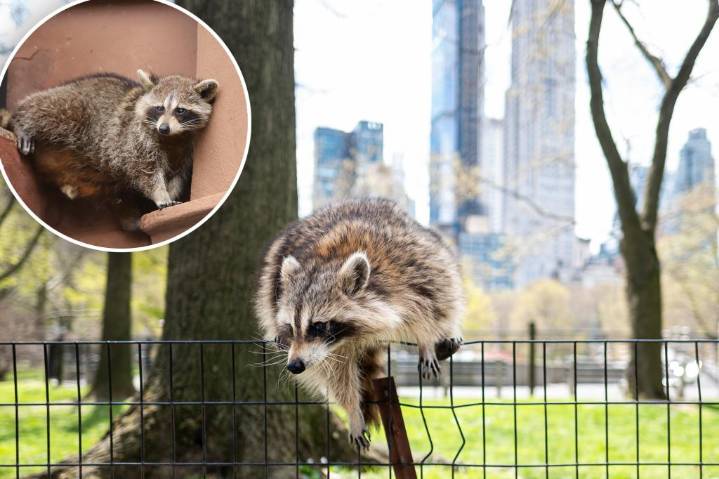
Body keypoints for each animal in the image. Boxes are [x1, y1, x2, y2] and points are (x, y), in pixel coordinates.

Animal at [3, 70, 218, 228]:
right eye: (159, 108)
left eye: (180, 110)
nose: (163, 128)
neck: (173, 138)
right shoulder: (136, 139)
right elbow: (146, 171)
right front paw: (161, 194)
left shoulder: (187, 149)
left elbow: (178, 176)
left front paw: (171, 195)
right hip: (75, 107)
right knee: (49, 110)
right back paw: (20, 120)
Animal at [255, 198, 464, 449]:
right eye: (291, 327)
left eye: (317, 325)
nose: (294, 365)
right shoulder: (331, 350)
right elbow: (337, 375)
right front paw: (353, 410)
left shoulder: (411, 267)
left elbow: (431, 302)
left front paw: (425, 340)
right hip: (273, 274)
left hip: (431, 245)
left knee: (448, 286)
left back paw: (449, 331)